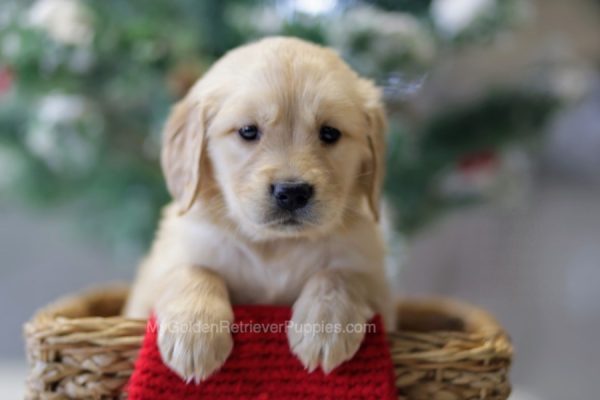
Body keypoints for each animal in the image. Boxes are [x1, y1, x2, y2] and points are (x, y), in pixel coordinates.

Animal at [123, 36, 394, 382]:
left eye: (330, 133)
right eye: (248, 131)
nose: (291, 193)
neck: (275, 246)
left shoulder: (377, 282)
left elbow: (340, 274)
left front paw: (324, 328)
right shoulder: (161, 267)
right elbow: (194, 269)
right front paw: (195, 333)